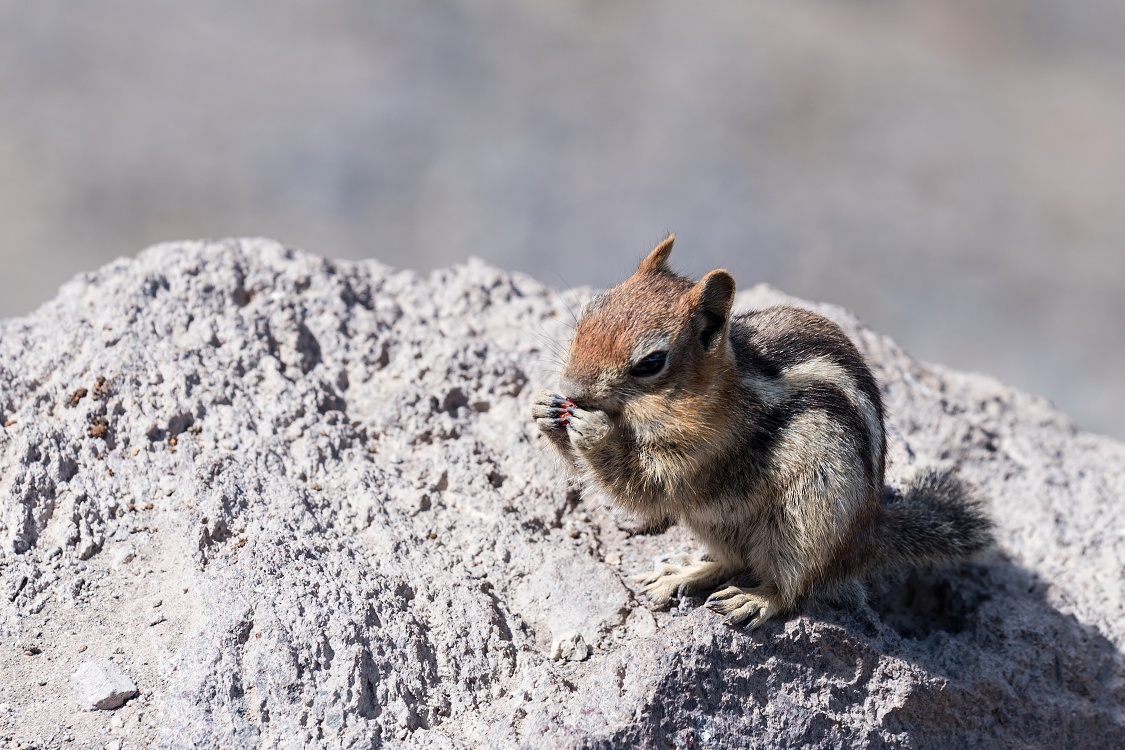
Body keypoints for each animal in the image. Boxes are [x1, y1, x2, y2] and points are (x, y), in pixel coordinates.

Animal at [531, 232, 990, 629]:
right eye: (588, 310)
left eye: (651, 363)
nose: (571, 389)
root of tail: (866, 538)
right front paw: (543, 410)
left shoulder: (705, 453)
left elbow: (648, 489)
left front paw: (595, 431)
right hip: (716, 523)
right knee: (734, 561)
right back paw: (683, 572)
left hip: (807, 518)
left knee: (792, 586)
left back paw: (754, 598)